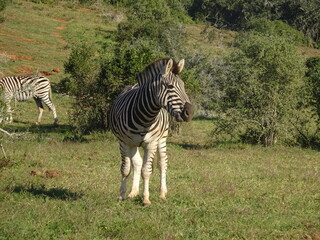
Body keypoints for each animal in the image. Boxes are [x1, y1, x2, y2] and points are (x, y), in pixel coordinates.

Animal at [109, 57, 194, 204]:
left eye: (183, 86)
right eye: (170, 86)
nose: (190, 112)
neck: (144, 117)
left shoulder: (151, 143)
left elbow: (147, 170)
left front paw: (146, 199)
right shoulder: (124, 142)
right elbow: (126, 169)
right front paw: (121, 195)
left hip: (162, 139)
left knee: (162, 163)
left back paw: (162, 193)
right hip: (133, 143)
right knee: (137, 163)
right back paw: (133, 192)